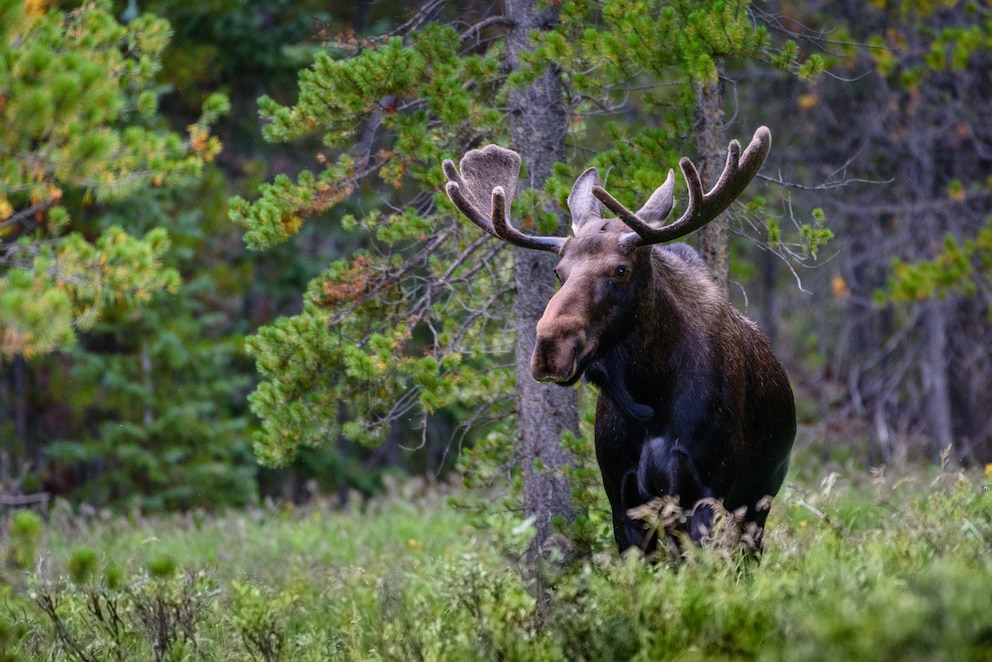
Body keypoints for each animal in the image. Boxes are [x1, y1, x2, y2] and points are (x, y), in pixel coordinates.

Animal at [446, 127, 796, 556]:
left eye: (621, 270)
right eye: (559, 271)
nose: (550, 349)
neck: (651, 393)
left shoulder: (707, 492)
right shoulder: (622, 497)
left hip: (758, 499)